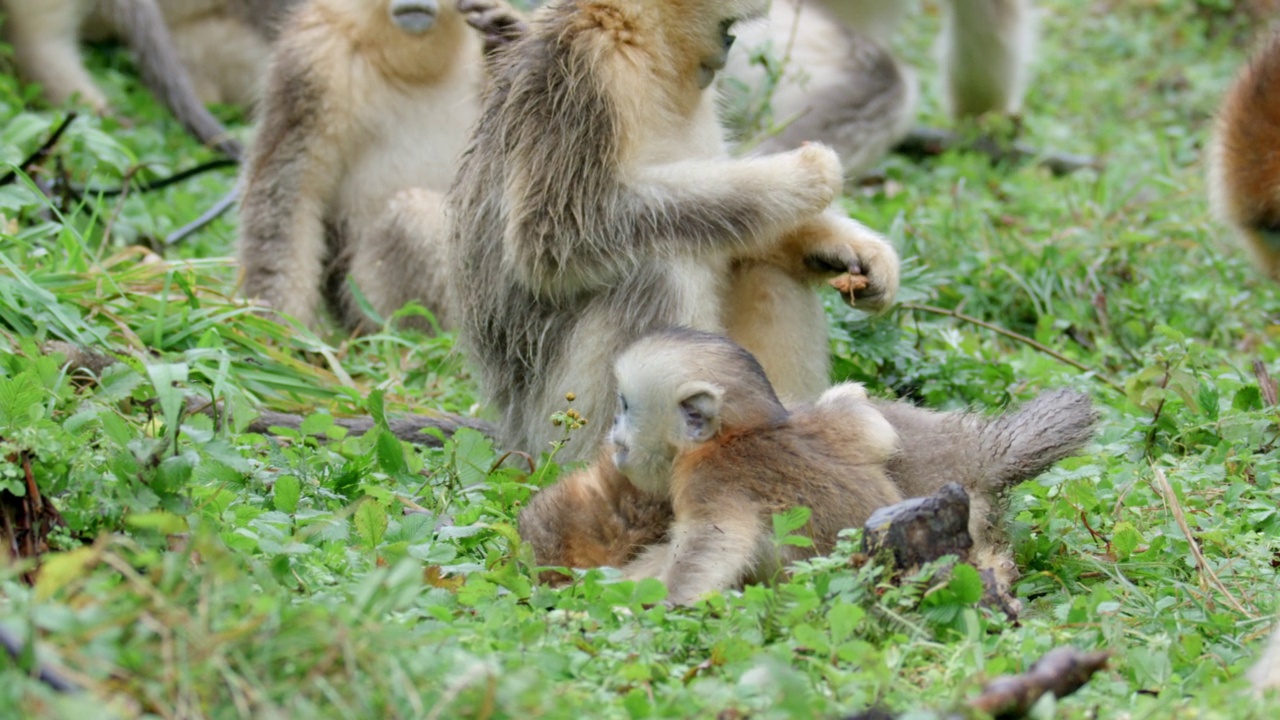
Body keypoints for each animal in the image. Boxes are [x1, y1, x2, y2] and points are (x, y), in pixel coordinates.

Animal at [448, 0, 901, 461]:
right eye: (730, 25)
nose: (729, 44)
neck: (642, 47)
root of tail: (515, 433)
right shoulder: (585, 71)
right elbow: (557, 236)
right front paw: (803, 177)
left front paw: (846, 246)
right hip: (554, 418)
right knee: (659, 268)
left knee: (766, 271)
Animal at [514, 327, 1095, 602]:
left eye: (626, 406)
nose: (614, 436)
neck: (740, 432)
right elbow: (862, 421)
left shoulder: (705, 478)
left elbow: (713, 547)